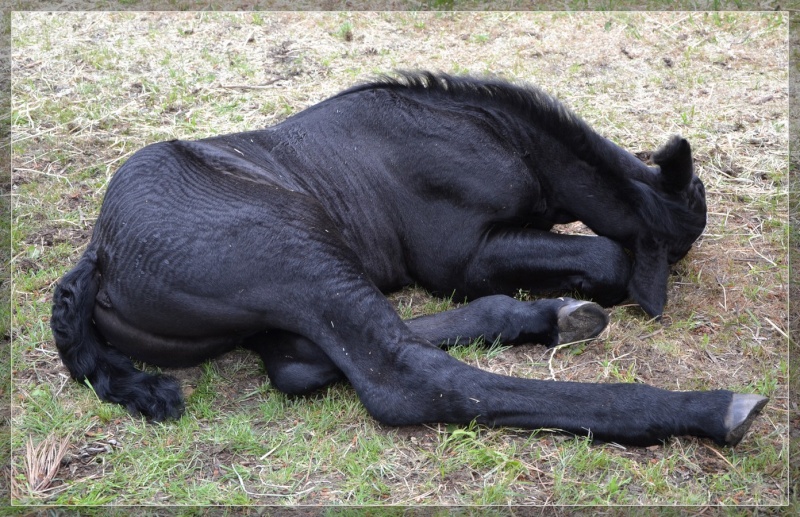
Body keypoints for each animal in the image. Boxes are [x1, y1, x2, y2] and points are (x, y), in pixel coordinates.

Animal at [51, 70, 768, 446]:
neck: (505, 137)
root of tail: (99, 253)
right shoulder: (462, 256)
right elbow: (608, 256)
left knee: (301, 359)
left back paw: (549, 316)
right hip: (294, 247)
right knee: (403, 377)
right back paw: (707, 408)